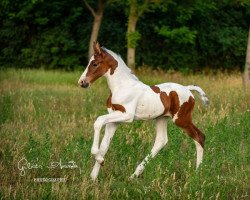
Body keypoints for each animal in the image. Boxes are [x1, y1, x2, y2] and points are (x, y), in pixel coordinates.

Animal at [79, 42, 208, 181]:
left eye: (95, 64)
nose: (82, 82)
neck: (122, 86)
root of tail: (187, 89)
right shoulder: (114, 119)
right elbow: (104, 146)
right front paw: (93, 177)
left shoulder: (127, 115)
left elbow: (98, 121)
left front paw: (99, 161)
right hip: (162, 118)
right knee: (161, 141)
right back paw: (133, 175)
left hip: (181, 119)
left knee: (199, 137)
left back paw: (197, 174)